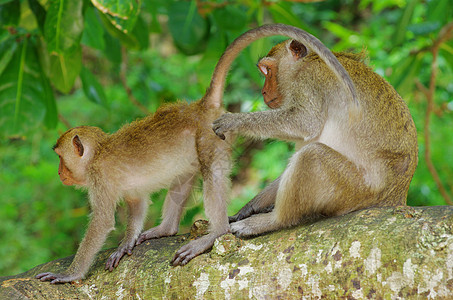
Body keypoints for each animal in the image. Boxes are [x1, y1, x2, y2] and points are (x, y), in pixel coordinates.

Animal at [214, 28, 418, 236]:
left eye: (268, 70)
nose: (263, 91)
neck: (306, 62)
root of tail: (396, 198)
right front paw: (250, 207)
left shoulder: (308, 80)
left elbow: (305, 122)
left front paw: (233, 121)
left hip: (357, 191)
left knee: (311, 155)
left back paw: (274, 221)